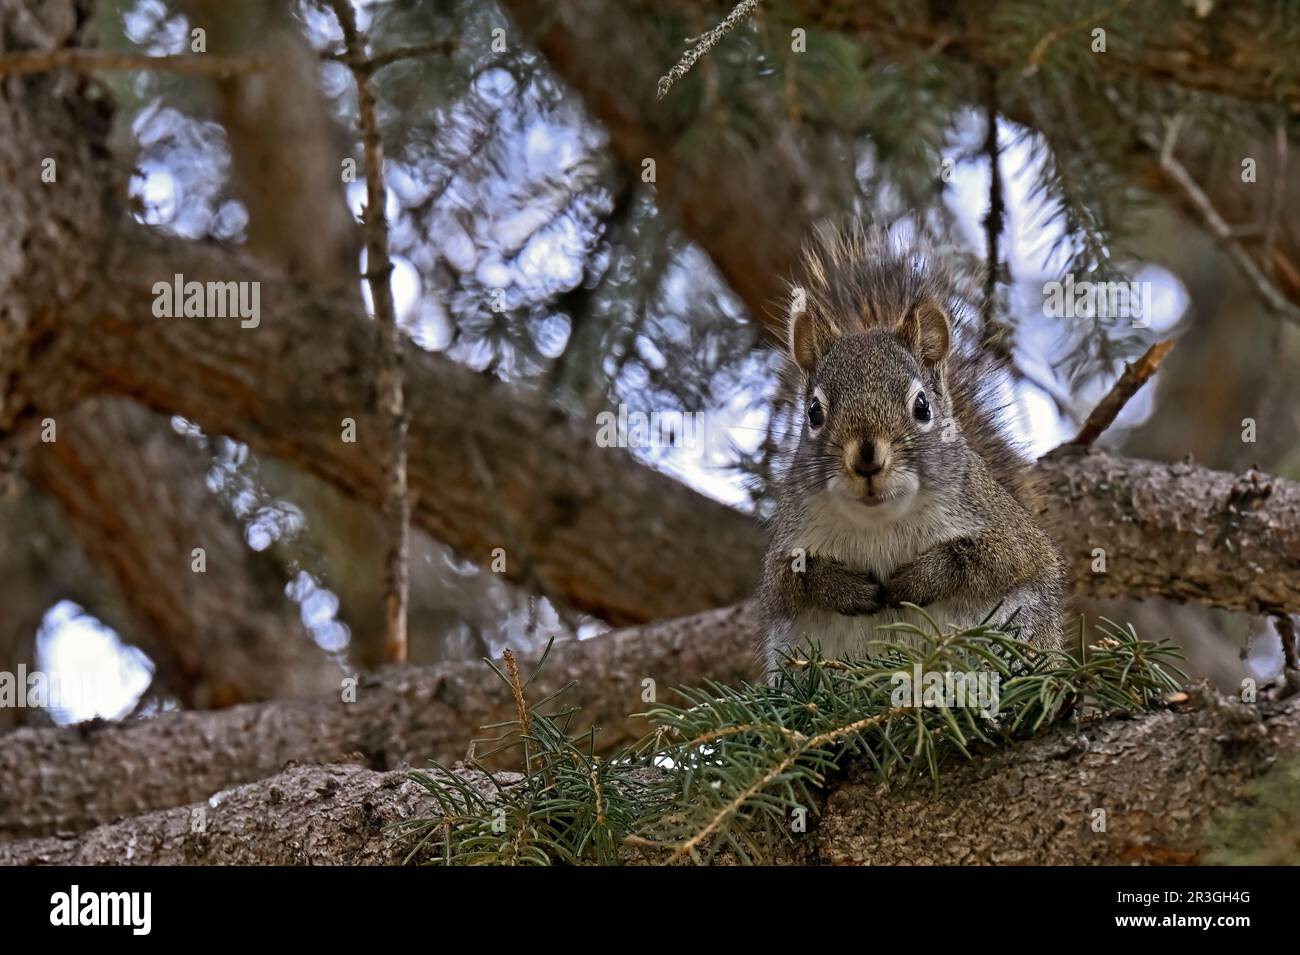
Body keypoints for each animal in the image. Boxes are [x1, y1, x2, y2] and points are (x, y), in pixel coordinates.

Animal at [759, 223, 1066, 675]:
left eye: (922, 406)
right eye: (814, 412)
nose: (867, 460)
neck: (879, 521)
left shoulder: (1010, 536)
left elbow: (986, 560)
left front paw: (914, 582)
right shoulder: (783, 554)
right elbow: (792, 580)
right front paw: (849, 590)